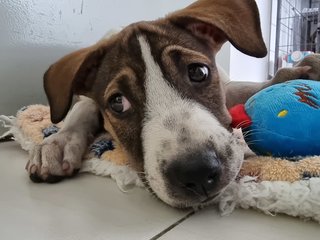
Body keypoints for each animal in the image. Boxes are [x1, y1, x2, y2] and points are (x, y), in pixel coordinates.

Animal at [25, 0, 312, 207]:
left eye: (199, 72)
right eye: (118, 102)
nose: (197, 172)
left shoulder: (226, 84)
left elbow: (245, 88)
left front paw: (293, 74)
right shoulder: (89, 101)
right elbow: (82, 109)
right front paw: (56, 143)